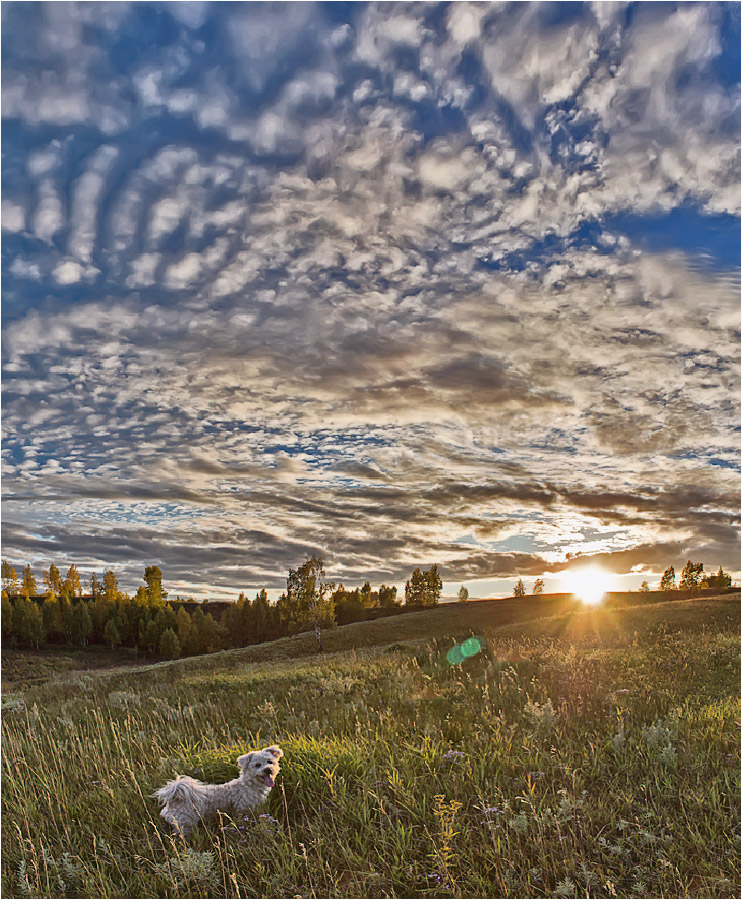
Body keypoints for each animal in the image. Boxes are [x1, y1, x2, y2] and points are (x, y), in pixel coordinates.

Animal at [154, 744, 284, 836]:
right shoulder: (242, 810)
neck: (249, 784)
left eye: (270, 761)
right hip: (186, 823)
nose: (268, 769)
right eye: (257, 765)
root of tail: (174, 799)